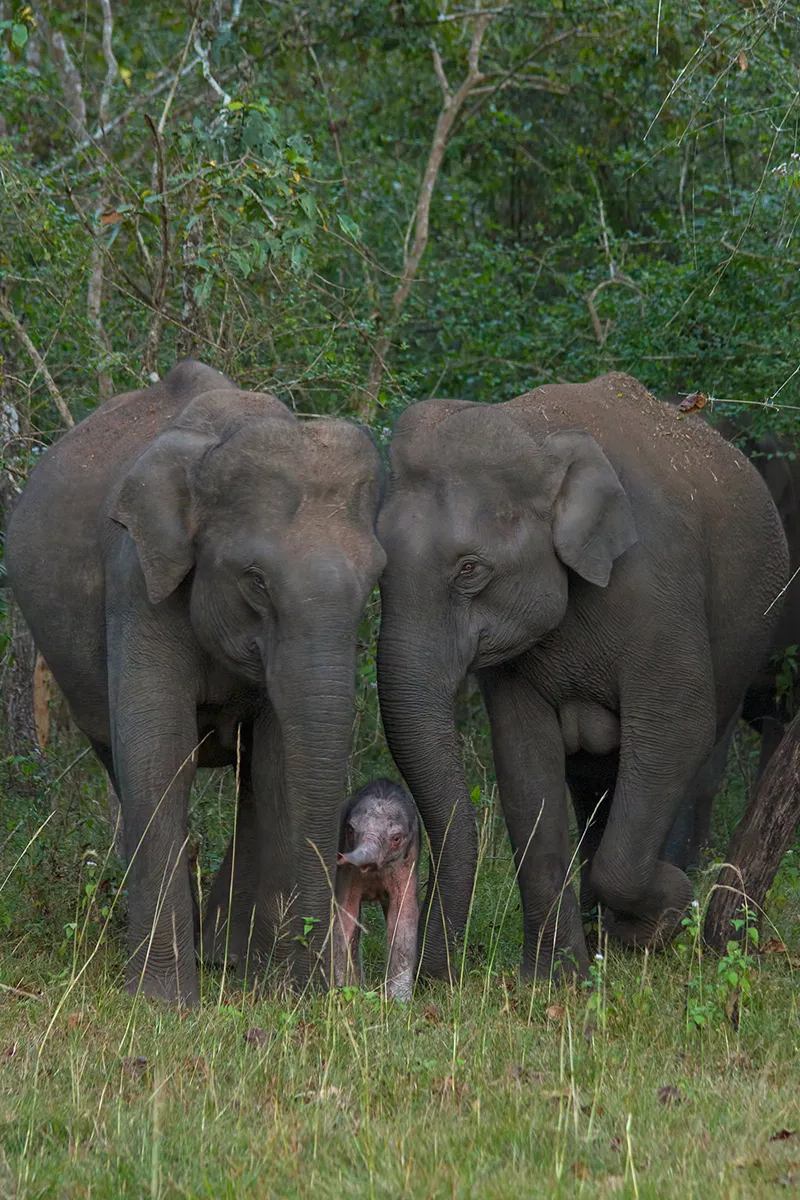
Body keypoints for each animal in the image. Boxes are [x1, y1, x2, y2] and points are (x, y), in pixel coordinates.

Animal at [5, 360, 386, 1004]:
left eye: (375, 578)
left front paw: (275, 988)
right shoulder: (136, 578)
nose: (324, 987)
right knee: (123, 764)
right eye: (255, 580)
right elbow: (159, 756)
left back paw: (228, 959)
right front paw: (162, 1003)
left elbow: (278, 765)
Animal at [375, 372, 788, 981]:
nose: (432, 978)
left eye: (470, 569)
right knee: (594, 780)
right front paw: (555, 979)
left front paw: (665, 918)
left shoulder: (657, 587)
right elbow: (524, 761)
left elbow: (677, 728)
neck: (536, 432)